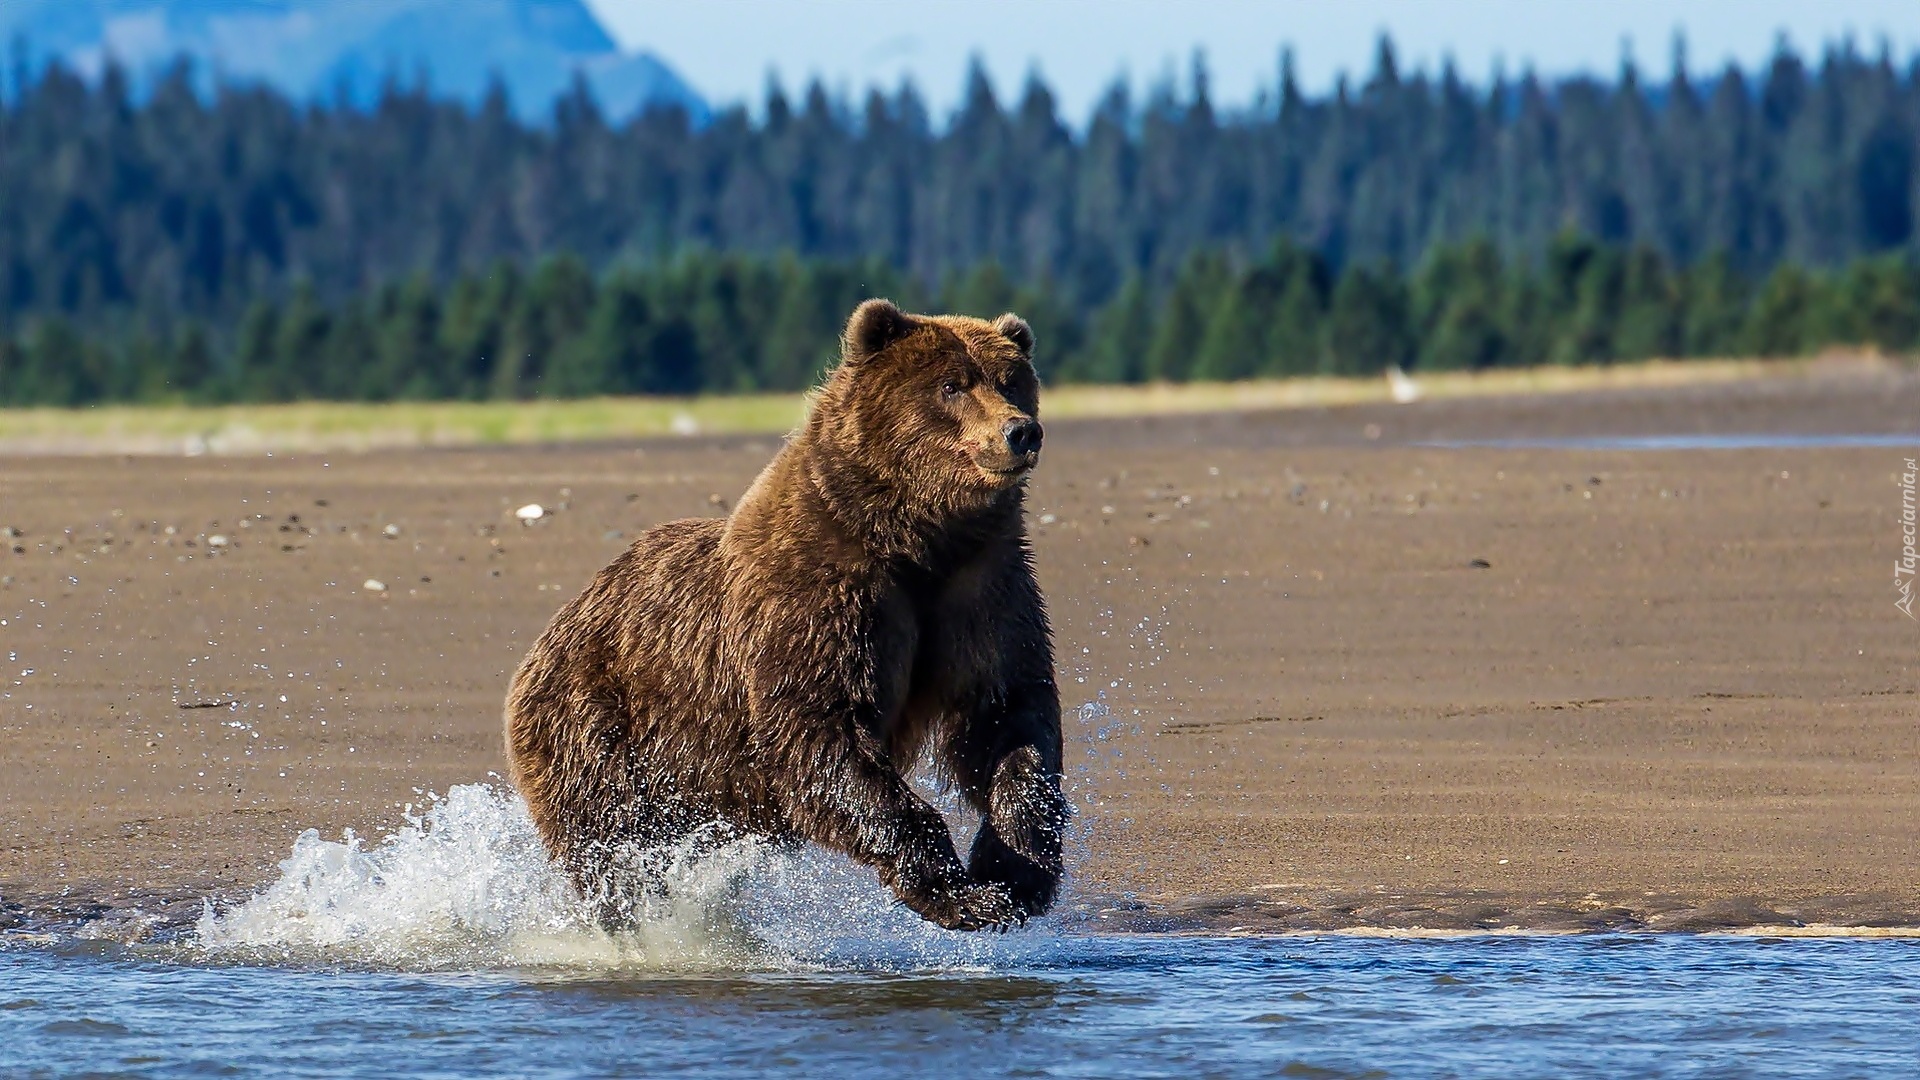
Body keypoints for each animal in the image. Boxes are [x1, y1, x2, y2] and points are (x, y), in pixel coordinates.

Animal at [503, 297, 1075, 930]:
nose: (1021, 431)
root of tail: (551, 630)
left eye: (1012, 382)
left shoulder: (981, 589)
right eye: (952, 385)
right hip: (599, 728)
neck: (914, 539)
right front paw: (959, 893)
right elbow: (818, 729)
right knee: (611, 845)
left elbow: (1006, 716)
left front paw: (1013, 873)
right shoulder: (819, 596)